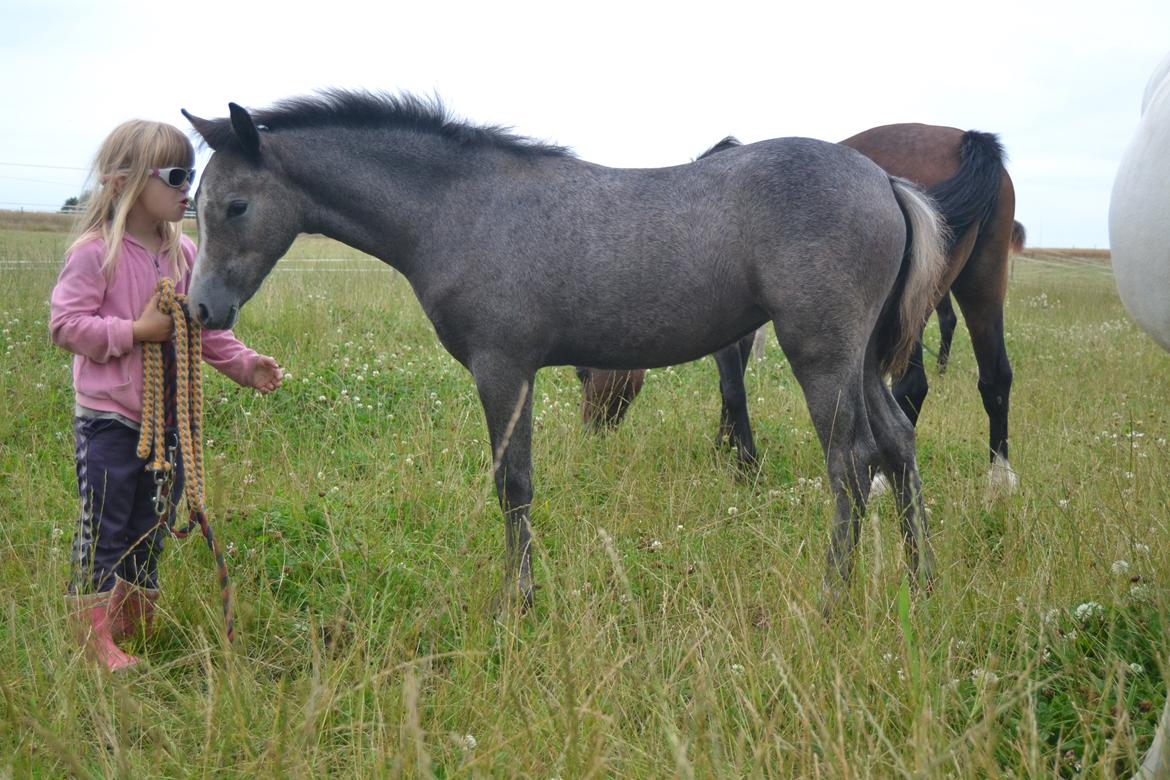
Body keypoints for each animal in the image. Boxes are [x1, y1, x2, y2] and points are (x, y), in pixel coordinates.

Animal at [184, 91, 950, 608]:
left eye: (235, 206)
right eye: (198, 201)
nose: (201, 310)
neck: (459, 207)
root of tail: (886, 182)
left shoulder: (503, 369)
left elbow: (512, 484)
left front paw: (517, 600)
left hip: (821, 353)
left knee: (851, 462)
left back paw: (833, 595)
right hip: (864, 359)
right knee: (897, 443)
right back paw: (921, 581)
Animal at [580, 124, 1020, 491]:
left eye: (583, 375)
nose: (588, 435)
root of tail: (966, 139)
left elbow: (732, 387)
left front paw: (744, 465)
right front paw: (725, 446)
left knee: (912, 386)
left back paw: (882, 480)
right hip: (982, 281)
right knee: (995, 376)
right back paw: (999, 480)